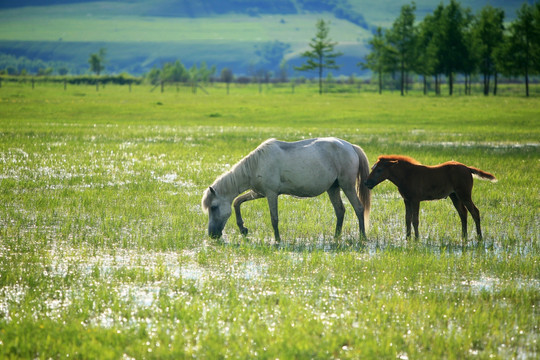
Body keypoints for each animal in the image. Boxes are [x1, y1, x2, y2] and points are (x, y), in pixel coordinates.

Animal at [202, 137, 372, 242]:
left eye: (214, 207)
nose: (212, 235)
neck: (257, 164)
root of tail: (351, 147)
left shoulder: (271, 194)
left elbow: (274, 218)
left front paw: (277, 240)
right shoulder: (259, 193)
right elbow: (237, 201)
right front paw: (243, 228)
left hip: (347, 186)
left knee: (358, 208)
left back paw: (362, 237)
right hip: (333, 188)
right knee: (340, 211)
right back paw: (336, 237)